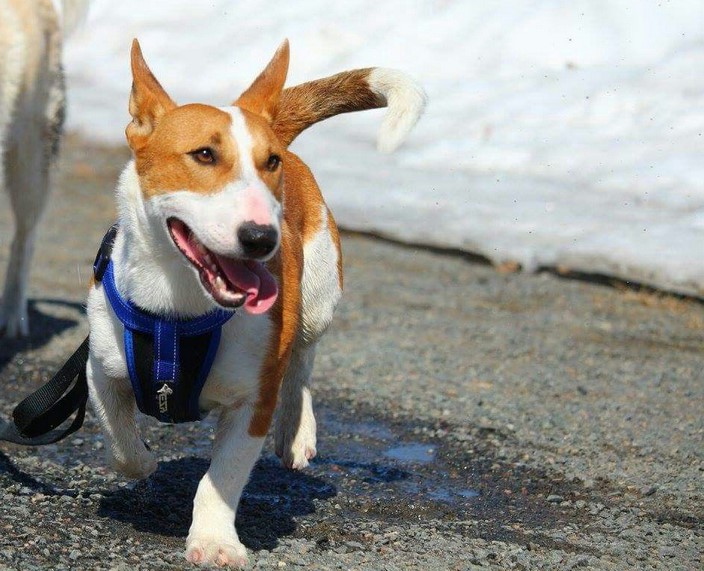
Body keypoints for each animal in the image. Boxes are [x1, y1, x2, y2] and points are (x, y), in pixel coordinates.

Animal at [83, 40, 424, 568]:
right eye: (203, 154)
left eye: (270, 162)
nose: (262, 238)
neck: (179, 311)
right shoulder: (100, 370)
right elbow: (121, 445)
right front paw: (144, 460)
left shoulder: (254, 400)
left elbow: (221, 478)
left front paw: (214, 541)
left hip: (318, 295)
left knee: (302, 359)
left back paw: (296, 431)